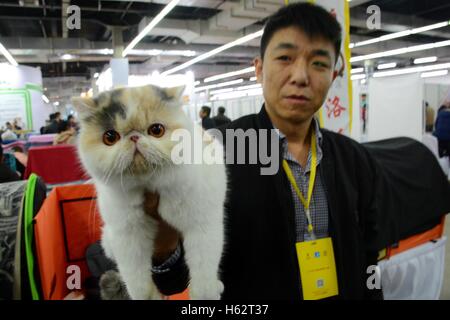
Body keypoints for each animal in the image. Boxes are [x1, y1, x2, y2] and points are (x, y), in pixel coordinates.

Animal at [74, 85, 229, 300]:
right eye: (110, 137)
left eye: (156, 130)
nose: (134, 137)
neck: (148, 185)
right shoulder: (129, 237)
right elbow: (138, 282)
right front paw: (150, 296)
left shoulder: (202, 226)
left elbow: (203, 270)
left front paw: (205, 295)